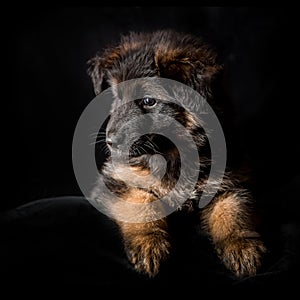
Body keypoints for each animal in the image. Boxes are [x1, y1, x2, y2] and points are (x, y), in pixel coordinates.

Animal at [86, 29, 264, 278]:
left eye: (149, 101)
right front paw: (149, 244)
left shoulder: (232, 181)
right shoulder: (118, 179)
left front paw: (241, 246)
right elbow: (142, 201)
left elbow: (233, 212)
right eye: (117, 97)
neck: (174, 154)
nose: (111, 143)